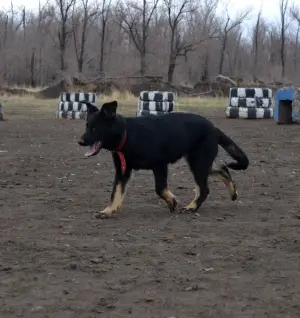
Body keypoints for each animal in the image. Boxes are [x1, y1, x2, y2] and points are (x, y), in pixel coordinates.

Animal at [77, 100, 248, 217]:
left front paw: (172, 201)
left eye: (95, 128)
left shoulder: (160, 165)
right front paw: (108, 211)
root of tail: (214, 128)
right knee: (223, 168)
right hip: (199, 162)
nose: (79, 141)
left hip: (198, 163)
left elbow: (159, 188)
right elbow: (116, 192)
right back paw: (232, 193)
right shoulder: (122, 172)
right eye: (86, 126)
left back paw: (191, 207)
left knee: (204, 189)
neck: (127, 134)